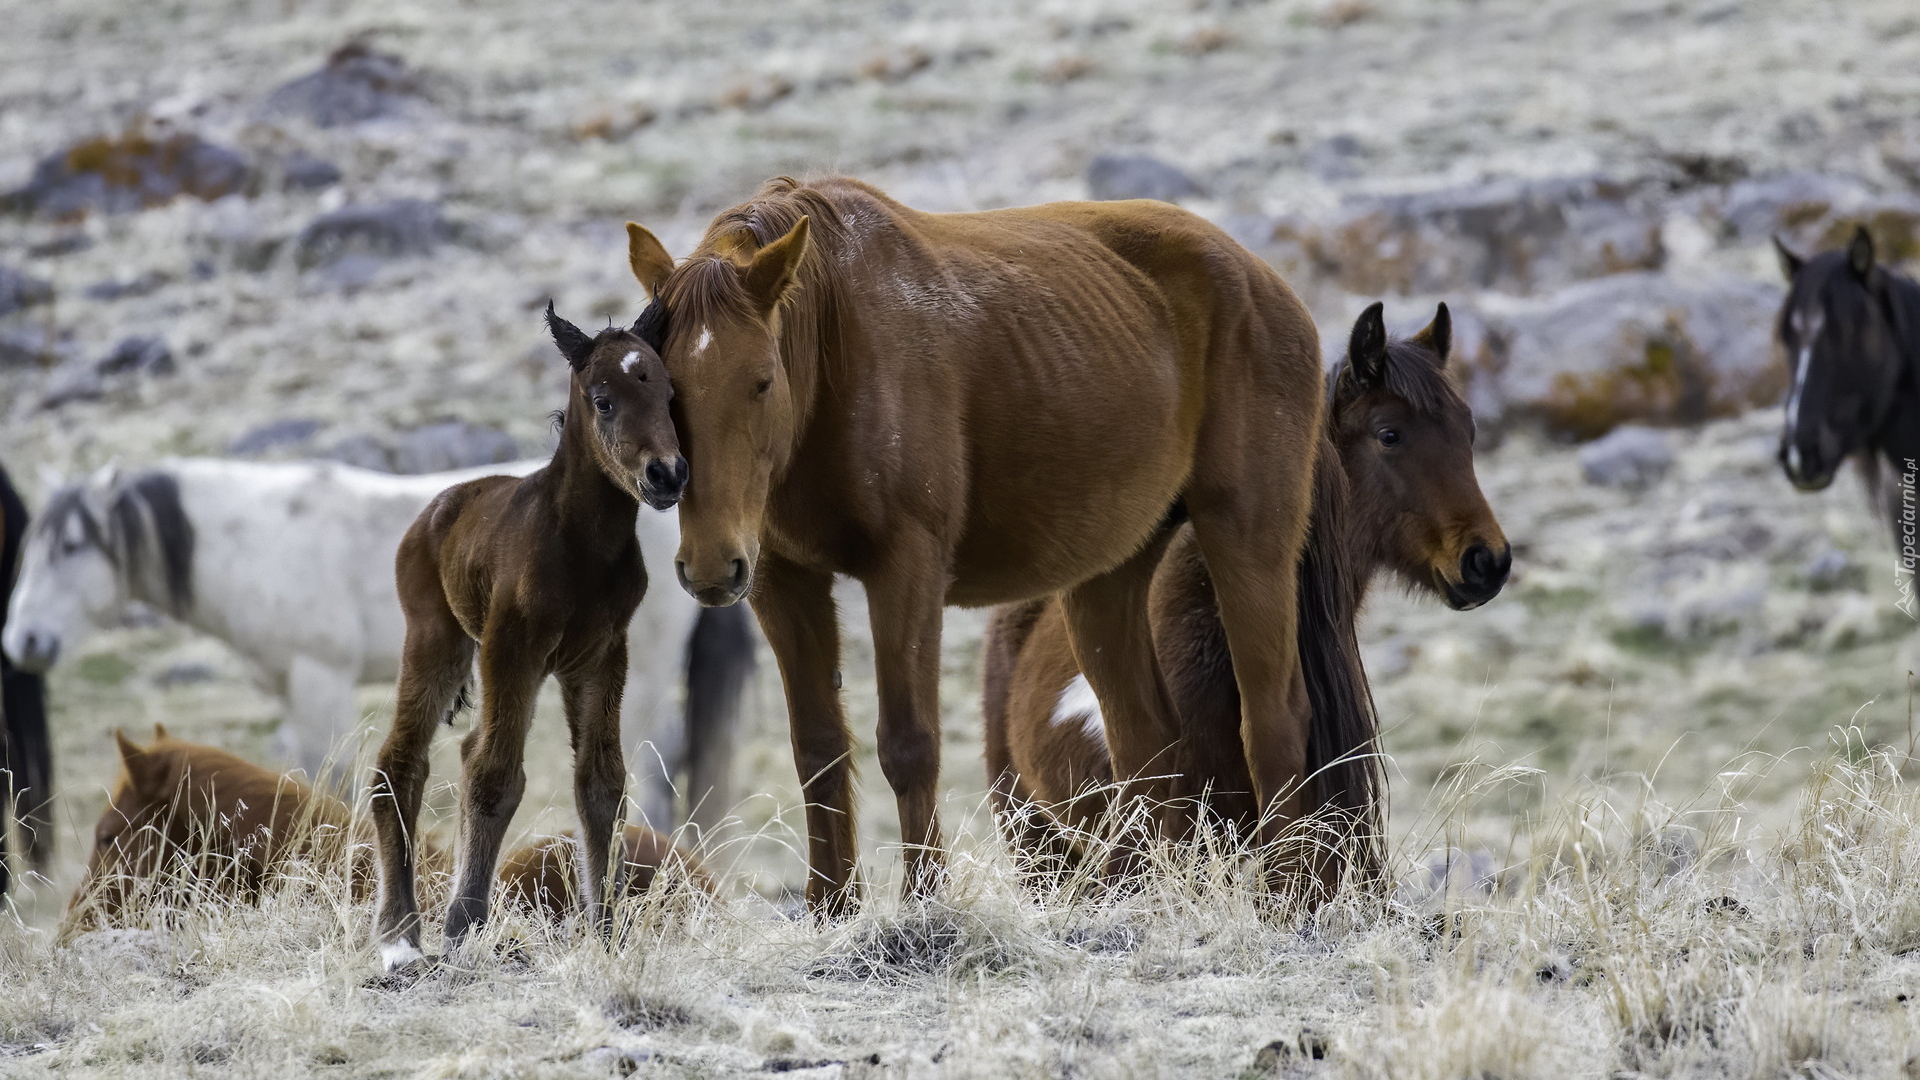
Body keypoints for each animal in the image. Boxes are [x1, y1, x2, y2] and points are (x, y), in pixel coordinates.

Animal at [3, 455, 752, 834]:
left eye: (71, 546)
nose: (24, 640)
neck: (260, 539)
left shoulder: (320, 678)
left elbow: (330, 776)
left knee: (653, 758)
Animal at [366, 299, 683, 968]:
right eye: (603, 399)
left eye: (669, 394)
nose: (668, 475)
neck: (583, 547)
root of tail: (435, 509)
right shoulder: (514, 647)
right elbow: (495, 777)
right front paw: (462, 924)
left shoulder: (601, 657)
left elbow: (601, 783)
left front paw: (606, 928)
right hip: (439, 642)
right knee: (402, 763)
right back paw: (400, 933)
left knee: (458, 751)